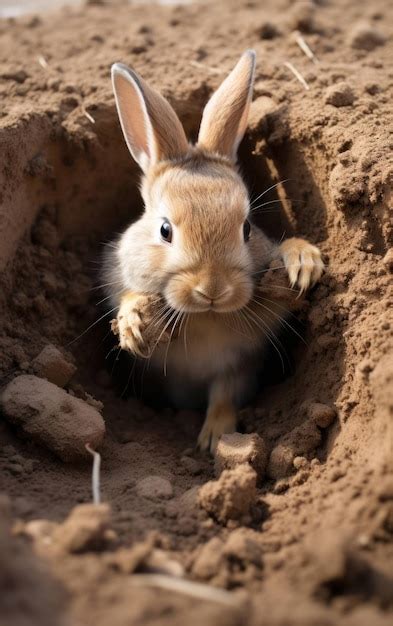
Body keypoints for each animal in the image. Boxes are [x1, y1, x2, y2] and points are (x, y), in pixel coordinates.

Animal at [104, 48, 322, 448]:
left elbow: (225, 393)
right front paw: (134, 323)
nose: (213, 290)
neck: (204, 317)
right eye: (164, 230)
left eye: (247, 228)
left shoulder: (239, 365)